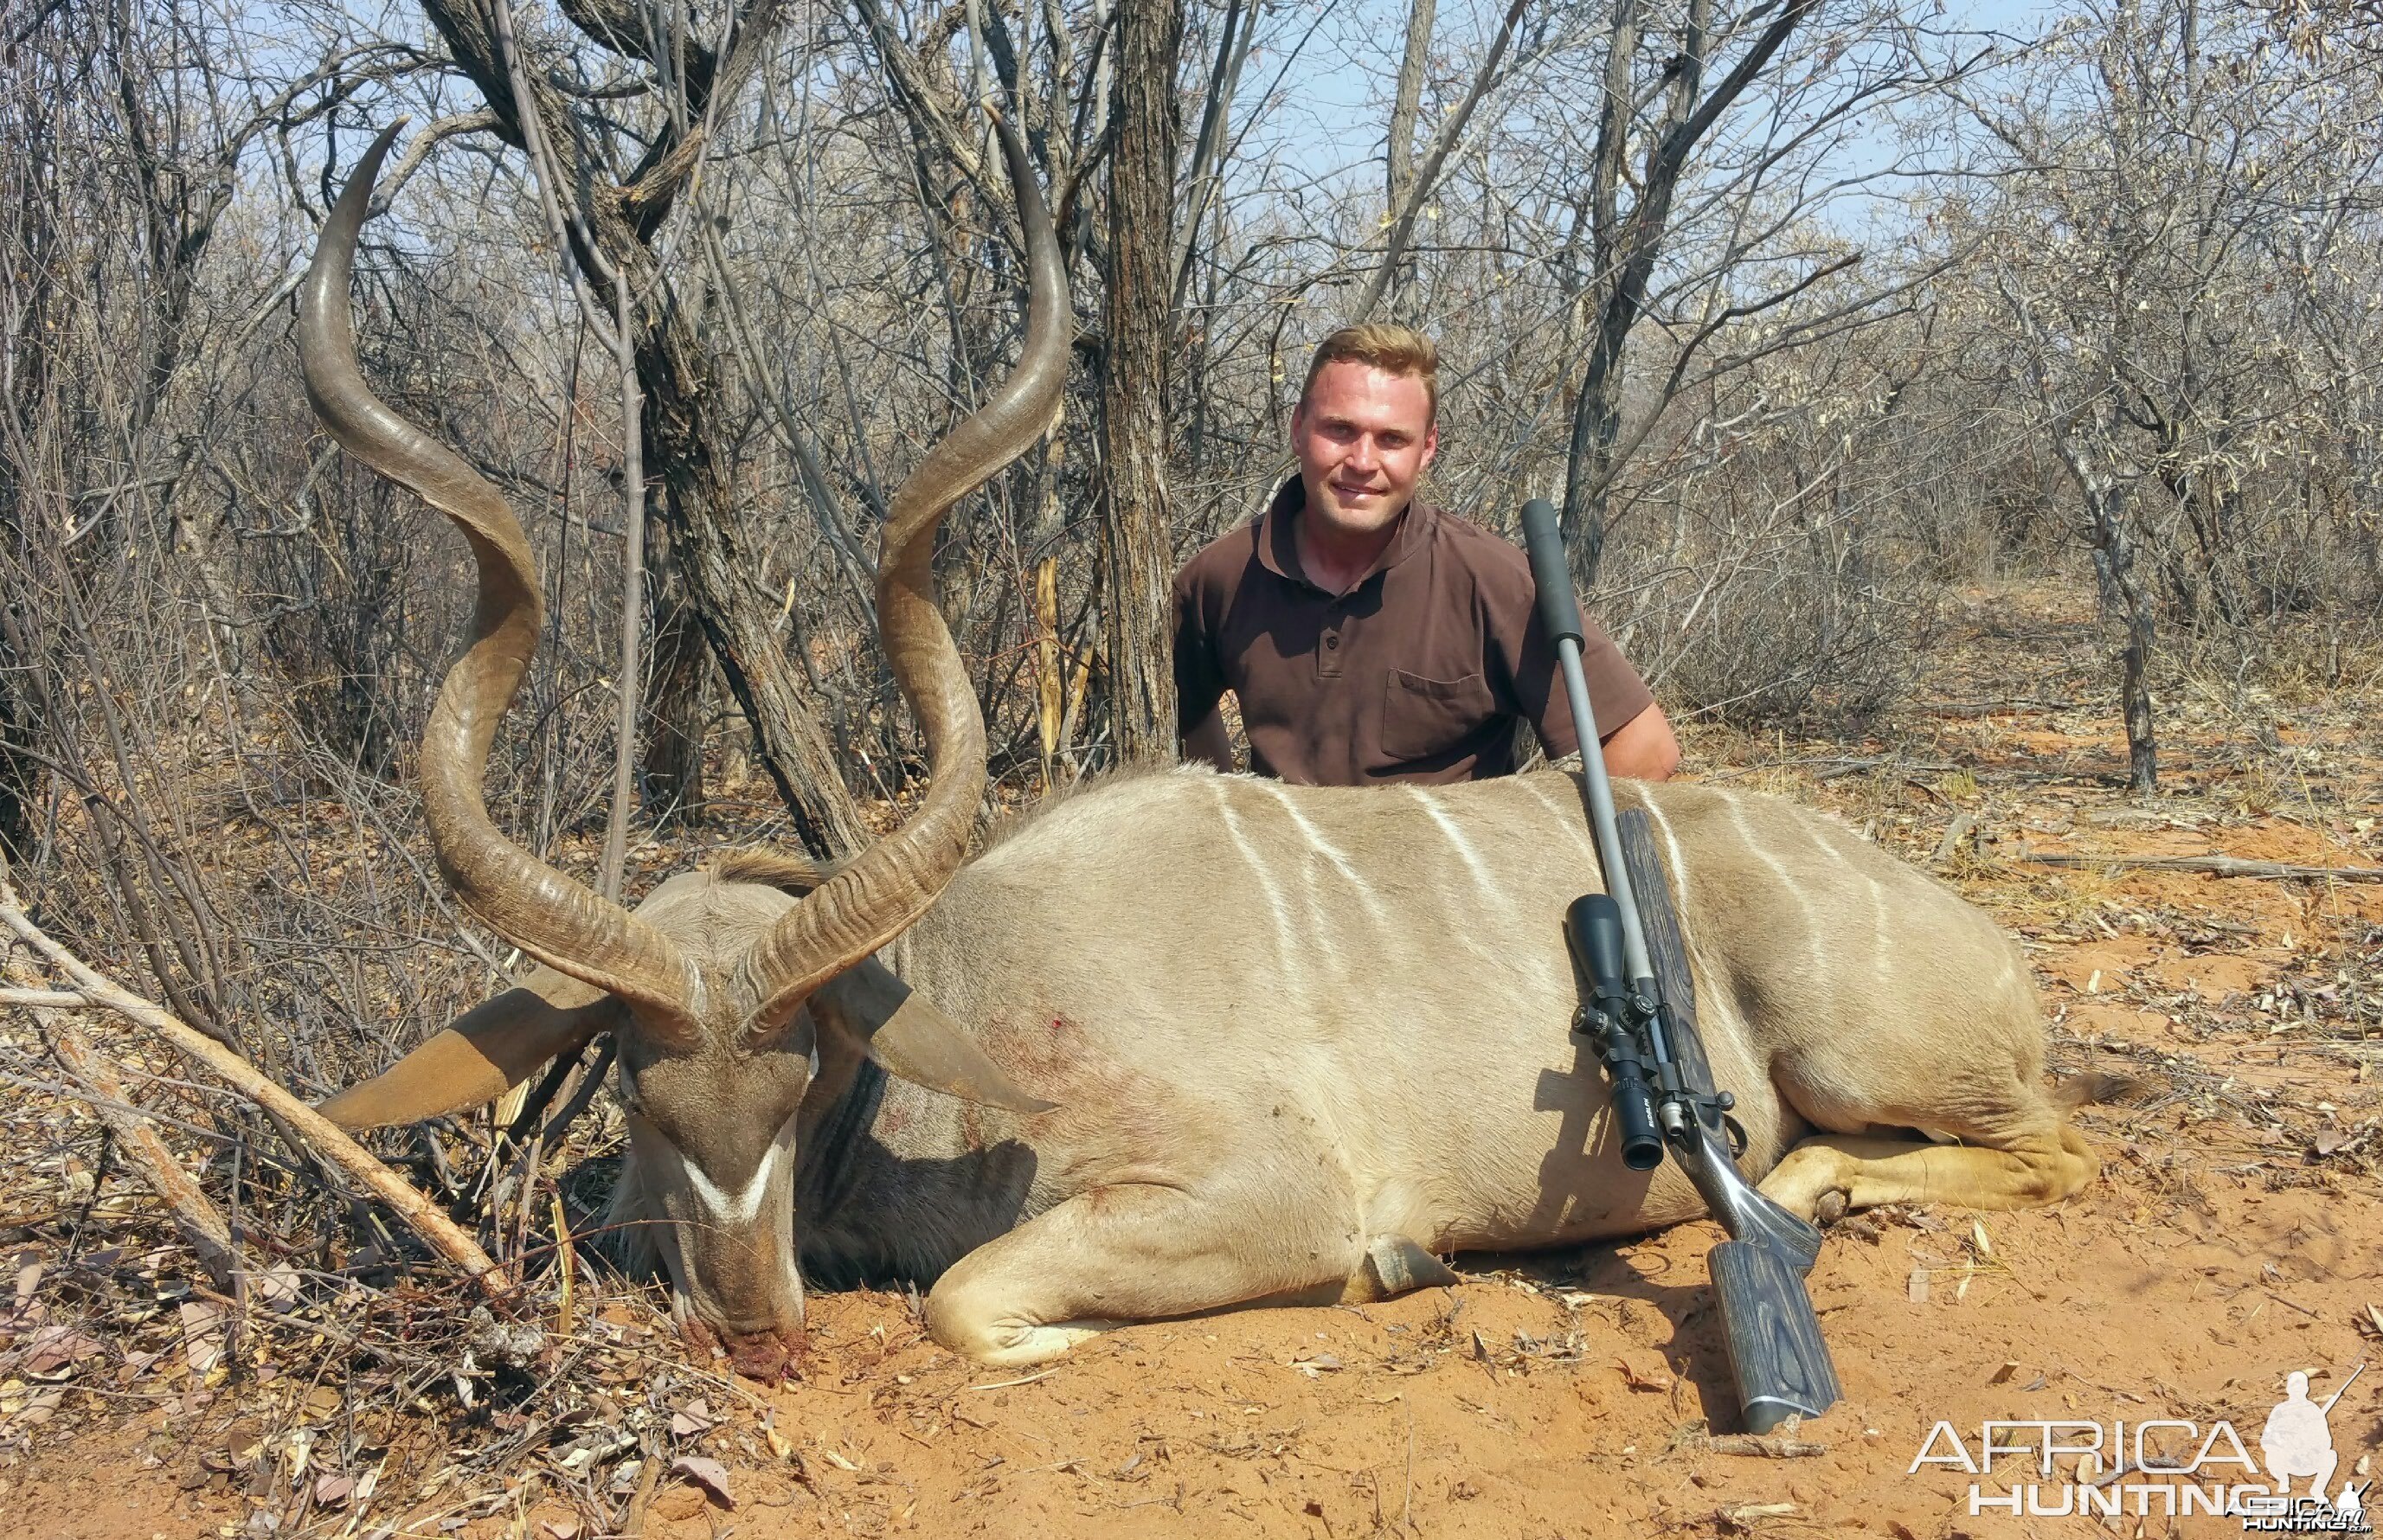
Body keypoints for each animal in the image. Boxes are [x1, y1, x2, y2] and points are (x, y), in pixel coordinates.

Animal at [298, 117, 2106, 1373]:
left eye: (808, 1063)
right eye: (635, 1081)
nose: (752, 1325)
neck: (966, 1004)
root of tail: (1963, 927)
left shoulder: (1258, 1191)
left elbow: (969, 1303)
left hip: (1864, 1051)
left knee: (2046, 1142)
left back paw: (1809, 1195)